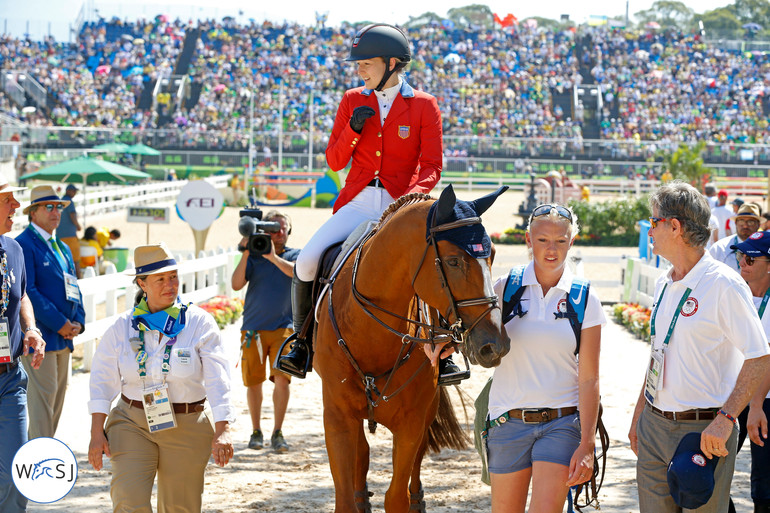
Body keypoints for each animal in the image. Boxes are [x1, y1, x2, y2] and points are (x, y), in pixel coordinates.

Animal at [312, 186, 510, 512]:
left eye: (491, 255)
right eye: (453, 261)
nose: (495, 345)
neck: (371, 331)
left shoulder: (411, 423)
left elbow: (397, 496)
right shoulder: (337, 417)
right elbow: (344, 497)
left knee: (415, 462)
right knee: (362, 453)